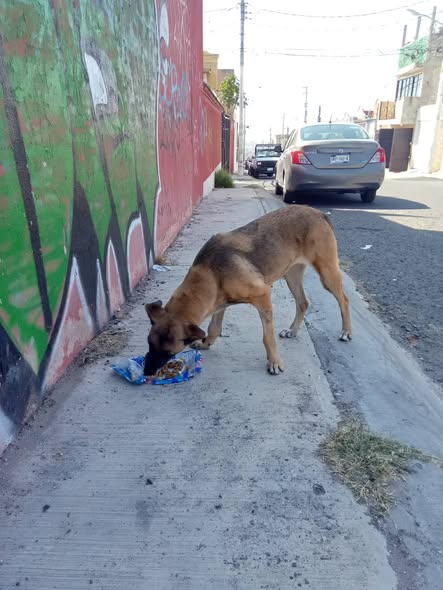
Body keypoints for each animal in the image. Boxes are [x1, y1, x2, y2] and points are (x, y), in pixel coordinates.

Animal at [144, 205, 351, 376]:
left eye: (169, 352)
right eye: (149, 343)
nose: (147, 373)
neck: (210, 272)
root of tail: (319, 213)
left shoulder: (263, 295)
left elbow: (267, 337)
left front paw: (274, 362)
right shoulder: (219, 302)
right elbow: (213, 328)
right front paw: (205, 343)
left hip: (327, 273)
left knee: (343, 299)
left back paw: (346, 331)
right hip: (291, 275)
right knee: (303, 303)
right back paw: (292, 331)